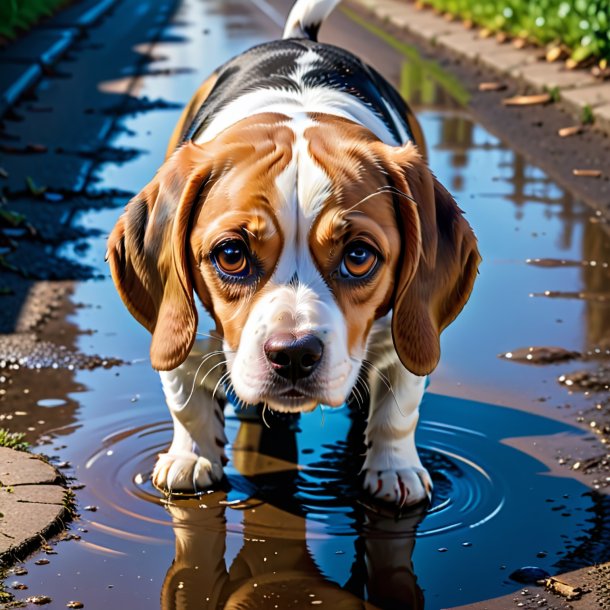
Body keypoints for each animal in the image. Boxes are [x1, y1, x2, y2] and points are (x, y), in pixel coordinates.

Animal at [107, 0, 478, 504]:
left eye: (359, 256)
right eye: (231, 254)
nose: (295, 355)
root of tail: (301, 39)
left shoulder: (405, 331)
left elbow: (398, 409)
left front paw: (394, 469)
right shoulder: (181, 322)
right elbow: (185, 401)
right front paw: (191, 457)